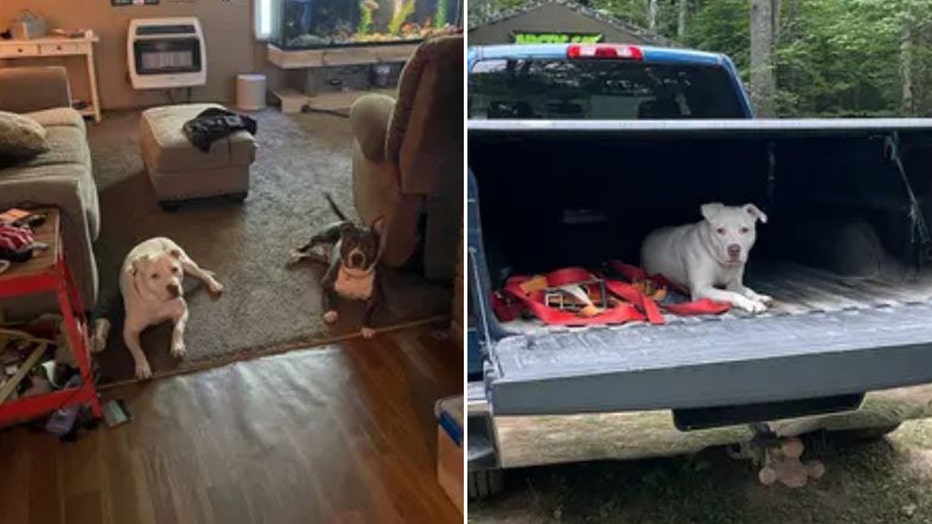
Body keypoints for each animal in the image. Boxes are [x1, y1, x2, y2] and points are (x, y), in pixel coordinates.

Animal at [119, 238, 223, 380]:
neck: (157, 301)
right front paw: (142, 366)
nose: (173, 287)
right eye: (154, 276)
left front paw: (177, 346)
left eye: (174, 269)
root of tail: (152, 239)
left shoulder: (182, 311)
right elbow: (137, 350)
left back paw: (214, 284)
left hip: (186, 262)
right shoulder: (129, 332)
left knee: (201, 273)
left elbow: (177, 329)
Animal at [640, 203, 772, 314]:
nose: (734, 249)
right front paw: (751, 303)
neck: (718, 258)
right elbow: (732, 294)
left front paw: (758, 297)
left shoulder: (734, 284)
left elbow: (747, 290)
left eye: (745, 230)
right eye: (720, 230)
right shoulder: (701, 289)